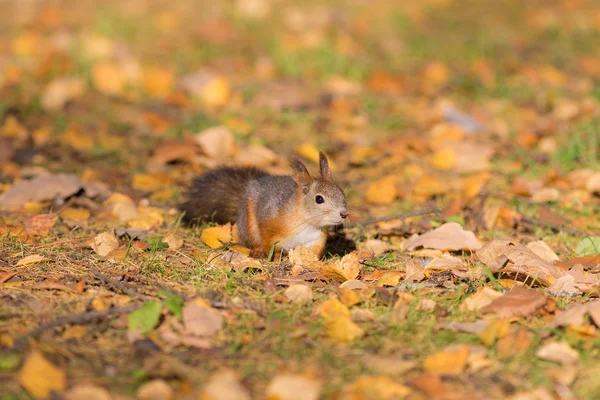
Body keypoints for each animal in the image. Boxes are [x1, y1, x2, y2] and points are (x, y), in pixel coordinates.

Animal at [182, 152, 346, 258]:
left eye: (341, 190)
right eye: (319, 199)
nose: (344, 213)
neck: (306, 222)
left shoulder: (316, 240)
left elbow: (312, 254)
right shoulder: (269, 222)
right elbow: (268, 240)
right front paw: (269, 254)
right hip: (249, 225)